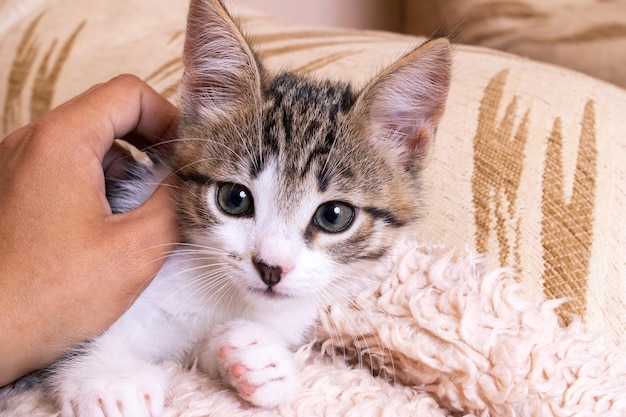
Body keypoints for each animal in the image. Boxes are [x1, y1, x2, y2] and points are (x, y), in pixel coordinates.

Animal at [47, 0, 448, 414]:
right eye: (234, 199)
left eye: (334, 216)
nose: (271, 267)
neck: (224, 296)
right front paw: (109, 379)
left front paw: (258, 355)